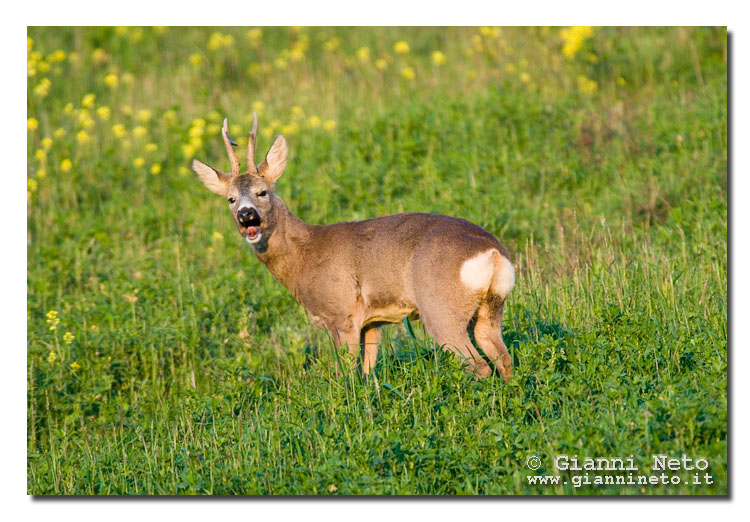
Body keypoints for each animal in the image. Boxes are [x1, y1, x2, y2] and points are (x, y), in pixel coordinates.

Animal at [192, 115, 516, 378]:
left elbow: (347, 375)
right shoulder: (372, 323)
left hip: (440, 308)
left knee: (480, 365)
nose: (246, 214)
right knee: (505, 360)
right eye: (231, 199)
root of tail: (492, 253)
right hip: (490, 310)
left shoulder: (341, 314)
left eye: (263, 192)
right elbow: (368, 374)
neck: (304, 256)